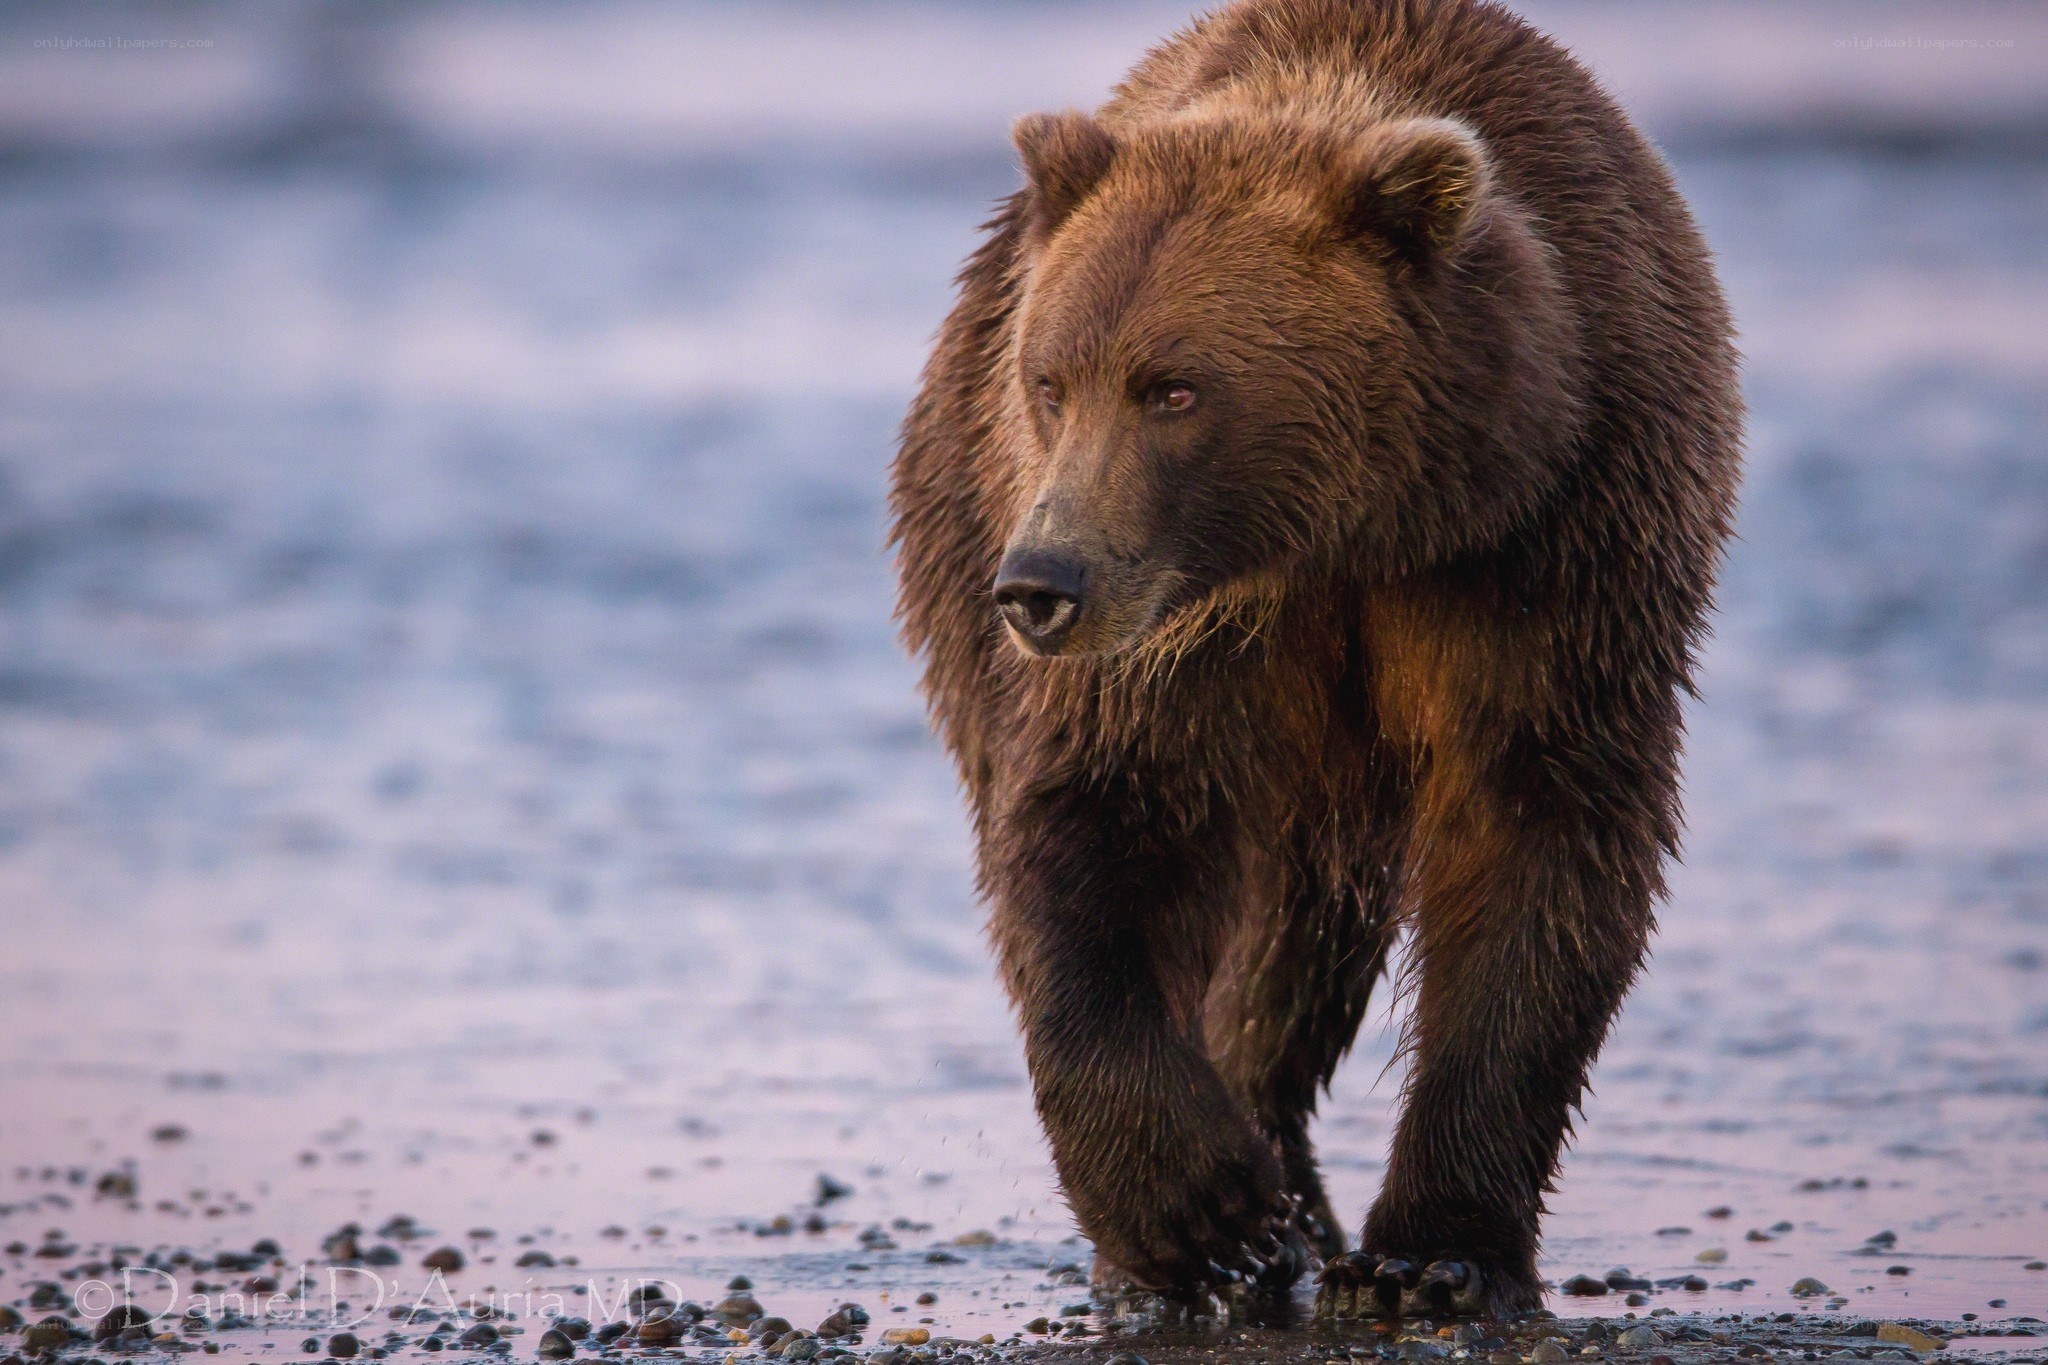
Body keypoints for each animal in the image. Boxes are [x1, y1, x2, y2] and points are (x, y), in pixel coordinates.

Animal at [888, 0, 1740, 1320]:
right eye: (1050, 379)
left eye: (1172, 388)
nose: (1039, 584)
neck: (1350, 531)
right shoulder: (1173, 642)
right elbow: (1100, 825)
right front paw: (1191, 1210)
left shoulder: (1548, 551)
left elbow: (1536, 842)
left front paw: (1436, 1253)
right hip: (957, 519)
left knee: (1297, 942)